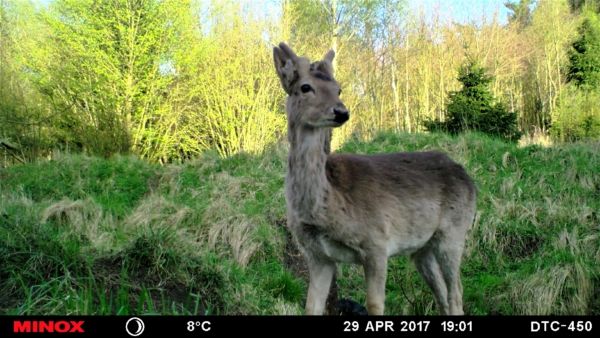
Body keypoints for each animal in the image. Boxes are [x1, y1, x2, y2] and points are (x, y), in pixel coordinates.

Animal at [274, 43, 478, 316]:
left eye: (338, 88)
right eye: (305, 87)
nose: (341, 112)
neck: (328, 206)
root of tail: (468, 178)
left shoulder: (377, 242)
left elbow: (374, 304)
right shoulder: (317, 255)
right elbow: (311, 306)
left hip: (454, 232)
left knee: (456, 293)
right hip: (422, 247)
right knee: (442, 295)